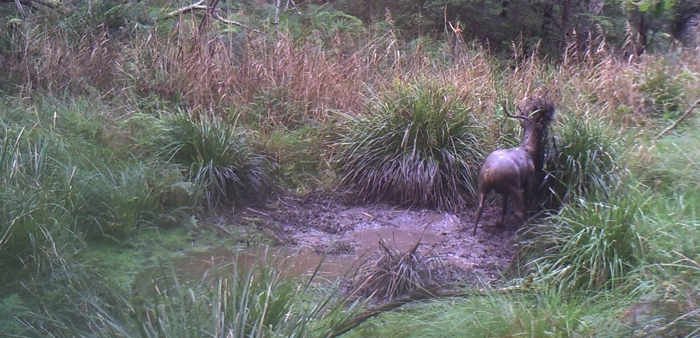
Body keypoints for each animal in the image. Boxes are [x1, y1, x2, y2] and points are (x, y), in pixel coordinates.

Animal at [470, 97, 556, 235]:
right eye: (540, 127)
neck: (529, 151)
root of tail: (489, 174)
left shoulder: (503, 191)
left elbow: (504, 207)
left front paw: (500, 222)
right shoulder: (529, 177)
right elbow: (527, 201)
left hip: (482, 185)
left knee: (479, 208)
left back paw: (474, 231)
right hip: (513, 185)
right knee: (518, 212)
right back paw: (526, 227)